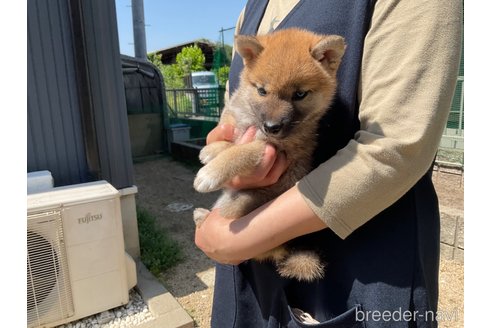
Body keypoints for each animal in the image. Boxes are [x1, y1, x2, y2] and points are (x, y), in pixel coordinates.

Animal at [193, 27, 346, 282]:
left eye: (300, 94)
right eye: (262, 91)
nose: (272, 127)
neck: (253, 120)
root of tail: (285, 248)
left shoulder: (272, 147)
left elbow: (240, 151)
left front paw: (210, 173)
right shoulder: (233, 120)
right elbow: (229, 138)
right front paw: (211, 150)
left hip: (238, 204)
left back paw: (203, 218)